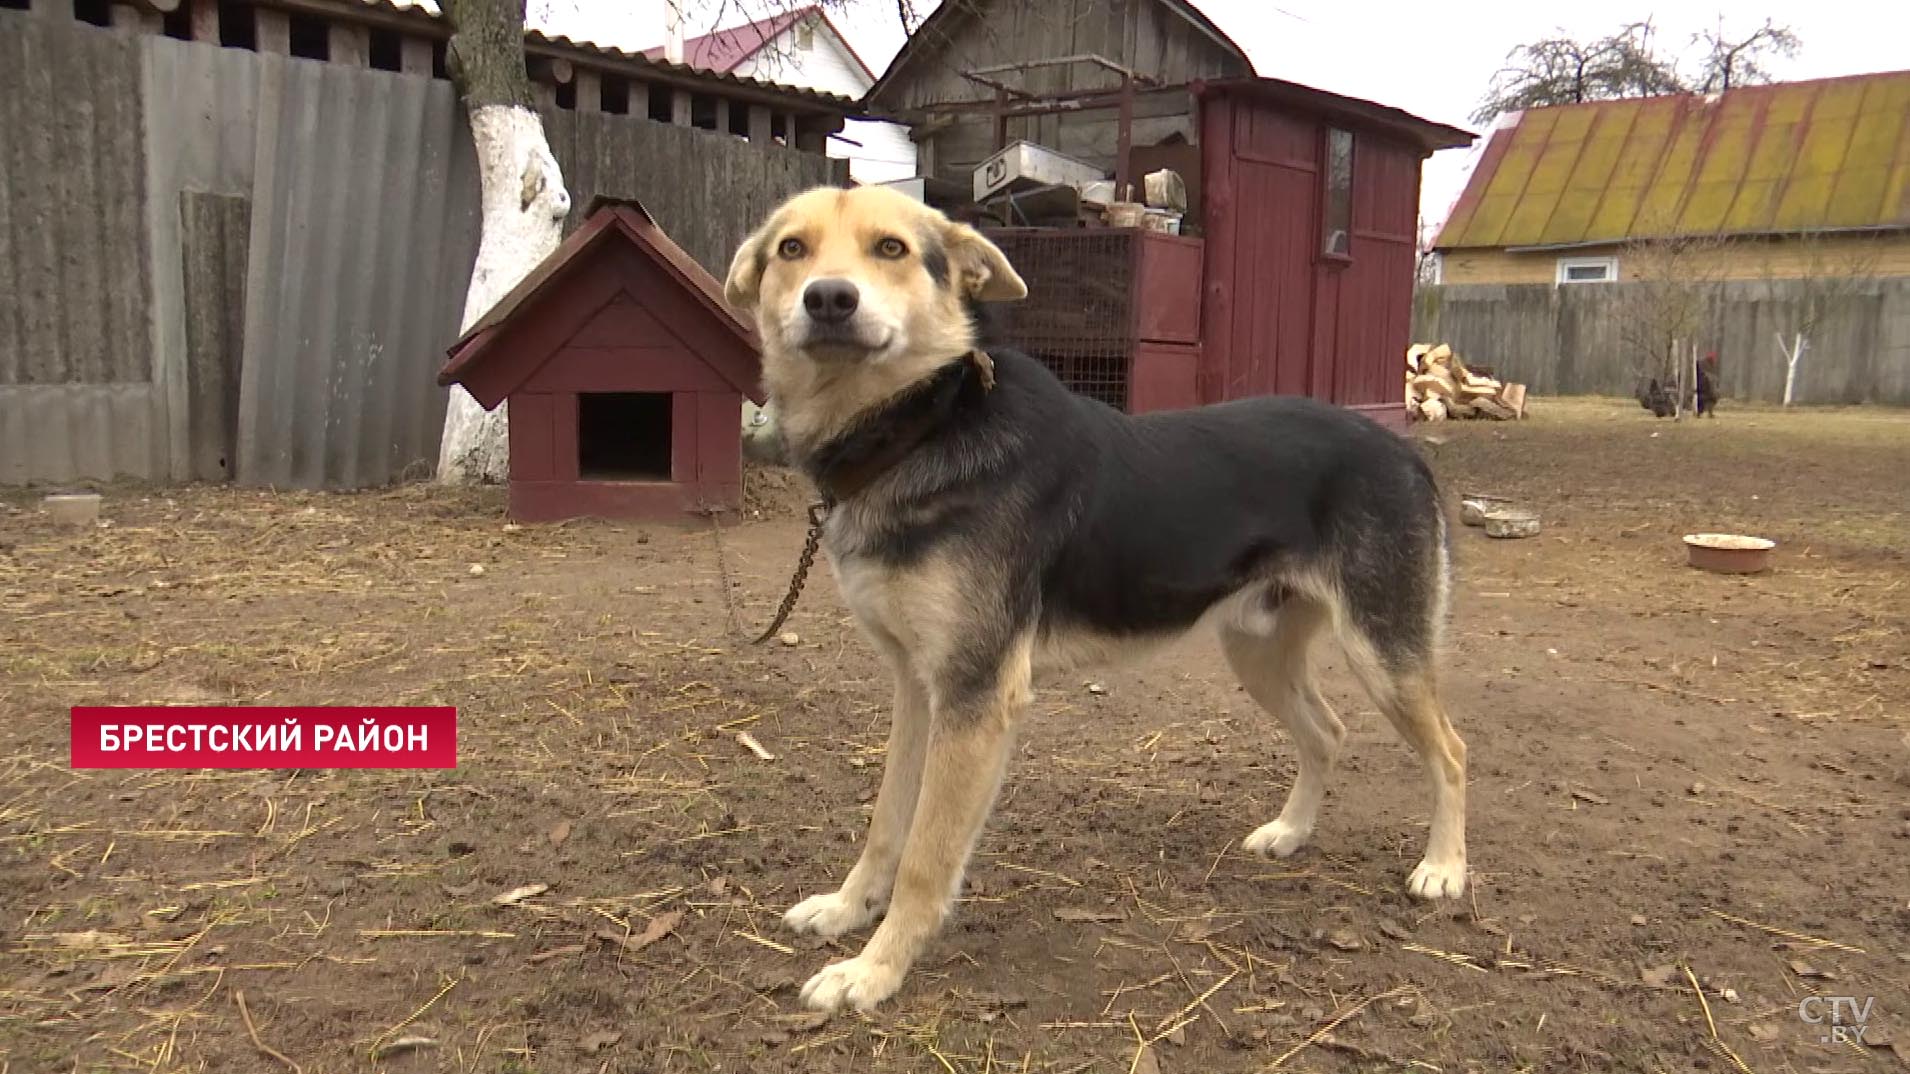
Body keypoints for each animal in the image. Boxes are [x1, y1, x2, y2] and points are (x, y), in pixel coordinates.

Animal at [721, 183, 1466, 1009]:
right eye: (792, 249)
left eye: (892, 248)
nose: (828, 300)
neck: (924, 429)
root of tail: (1400, 446)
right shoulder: (917, 687)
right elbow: (887, 823)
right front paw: (848, 910)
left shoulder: (977, 697)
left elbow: (925, 856)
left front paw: (874, 970)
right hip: (1258, 650)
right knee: (1327, 732)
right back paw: (1290, 832)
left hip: (1383, 655)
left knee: (1452, 752)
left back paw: (1444, 868)